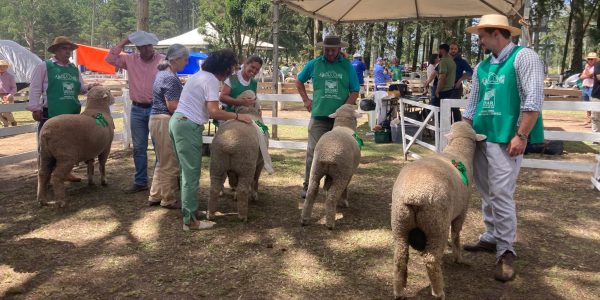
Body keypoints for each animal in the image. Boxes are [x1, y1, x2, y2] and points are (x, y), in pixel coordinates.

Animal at [207, 90, 270, 221]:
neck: (248, 111)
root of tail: (229, 145)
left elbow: (234, 183)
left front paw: (235, 194)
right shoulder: (260, 162)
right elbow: (256, 179)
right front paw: (255, 195)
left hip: (217, 164)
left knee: (214, 188)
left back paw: (211, 214)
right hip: (246, 166)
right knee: (243, 189)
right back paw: (242, 216)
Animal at [392, 120, 486, 298]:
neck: (458, 151)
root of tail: (413, 196)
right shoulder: (461, 212)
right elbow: (456, 235)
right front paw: (458, 258)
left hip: (400, 224)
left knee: (400, 258)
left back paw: (399, 291)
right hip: (436, 225)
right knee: (431, 260)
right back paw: (438, 292)